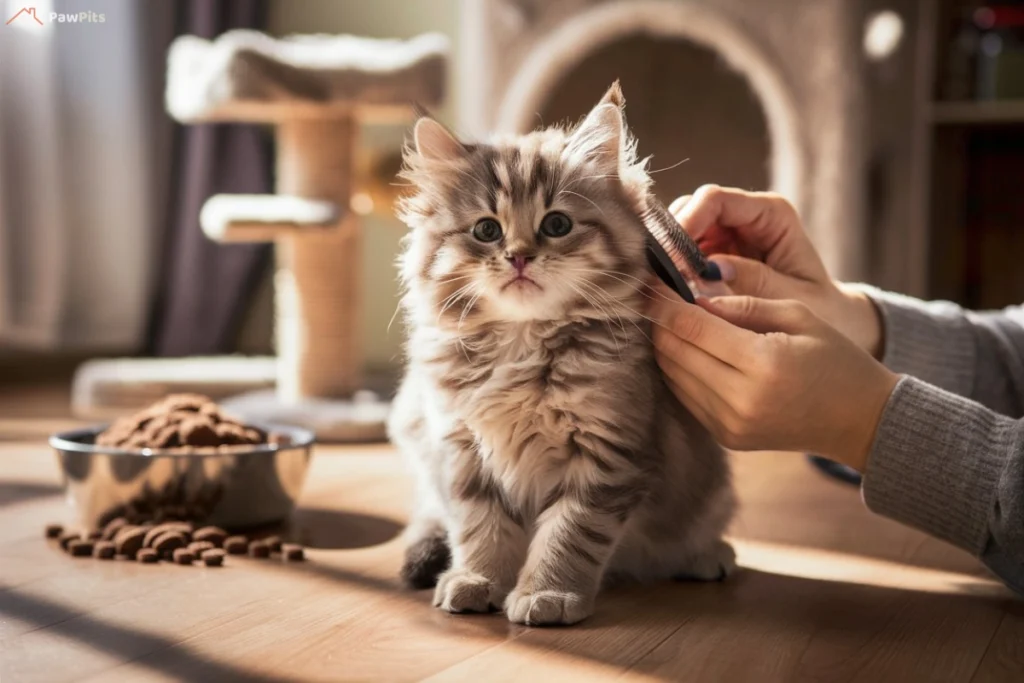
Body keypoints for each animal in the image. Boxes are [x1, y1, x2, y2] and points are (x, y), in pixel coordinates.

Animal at [387, 82, 733, 626]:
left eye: (556, 224)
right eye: (487, 231)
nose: (520, 257)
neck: (521, 343)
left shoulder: (608, 453)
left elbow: (569, 534)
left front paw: (548, 593)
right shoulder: (461, 451)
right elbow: (479, 528)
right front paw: (476, 580)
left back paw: (706, 556)